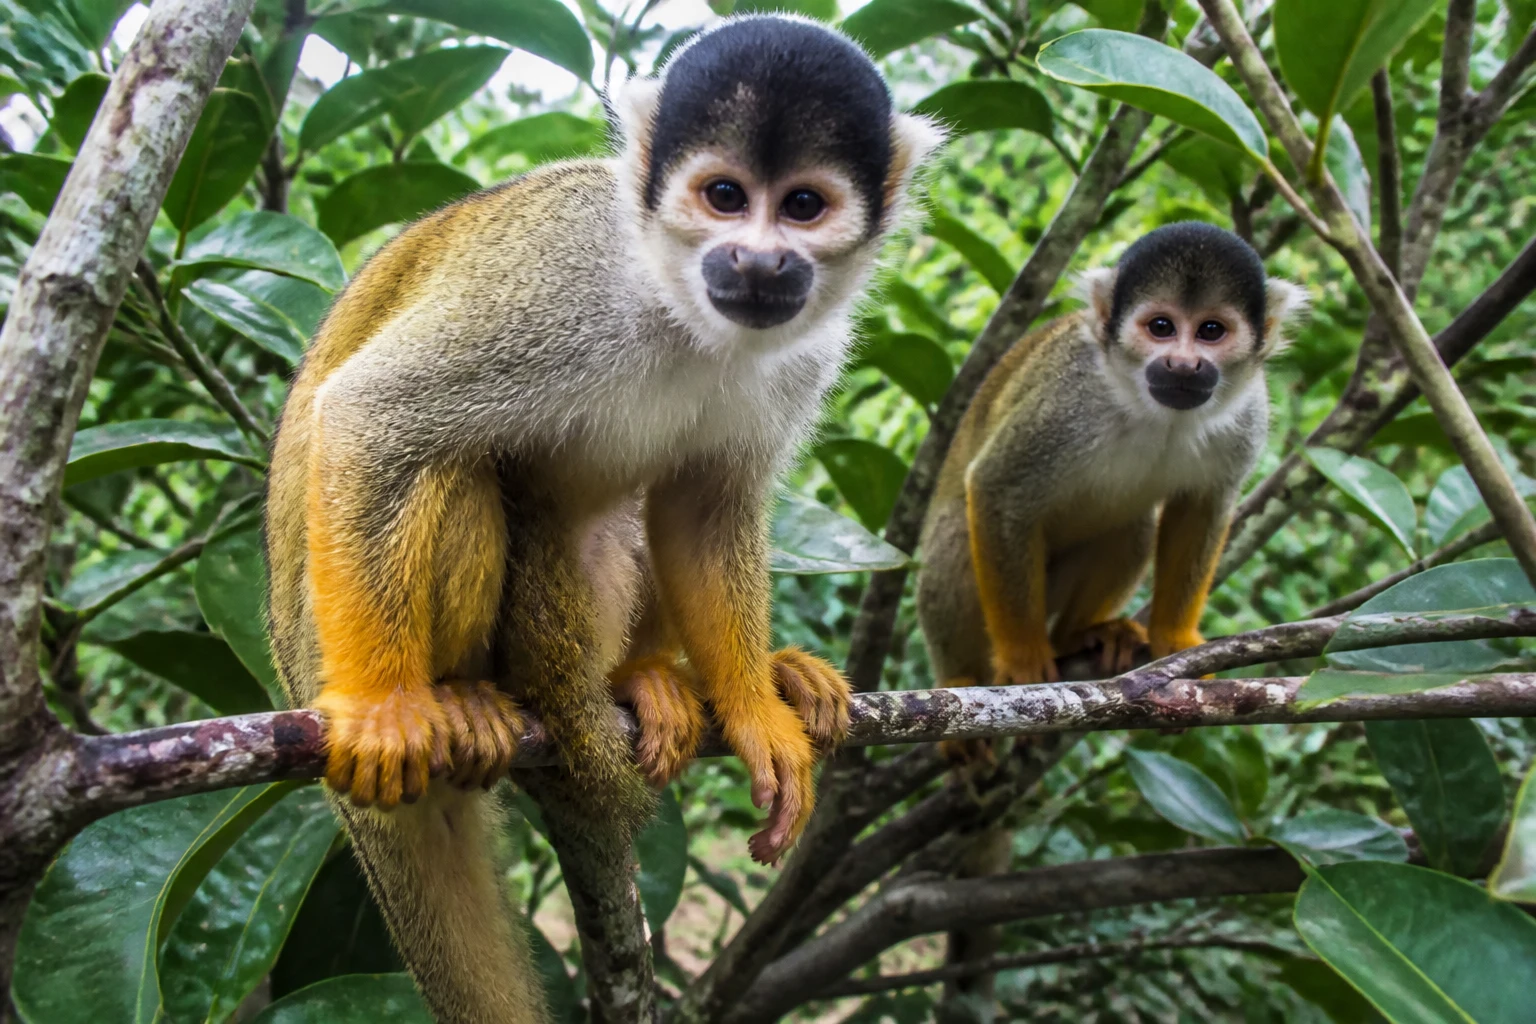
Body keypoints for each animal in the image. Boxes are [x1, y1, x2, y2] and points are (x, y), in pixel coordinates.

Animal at [263, 15, 942, 1024]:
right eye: (724, 196)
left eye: (803, 206)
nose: (757, 261)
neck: (678, 298)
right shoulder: (562, 288)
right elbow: (371, 414)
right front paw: (382, 709)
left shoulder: (804, 354)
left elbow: (705, 509)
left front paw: (754, 710)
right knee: (460, 472)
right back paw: (454, 699)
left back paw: (654, 680)